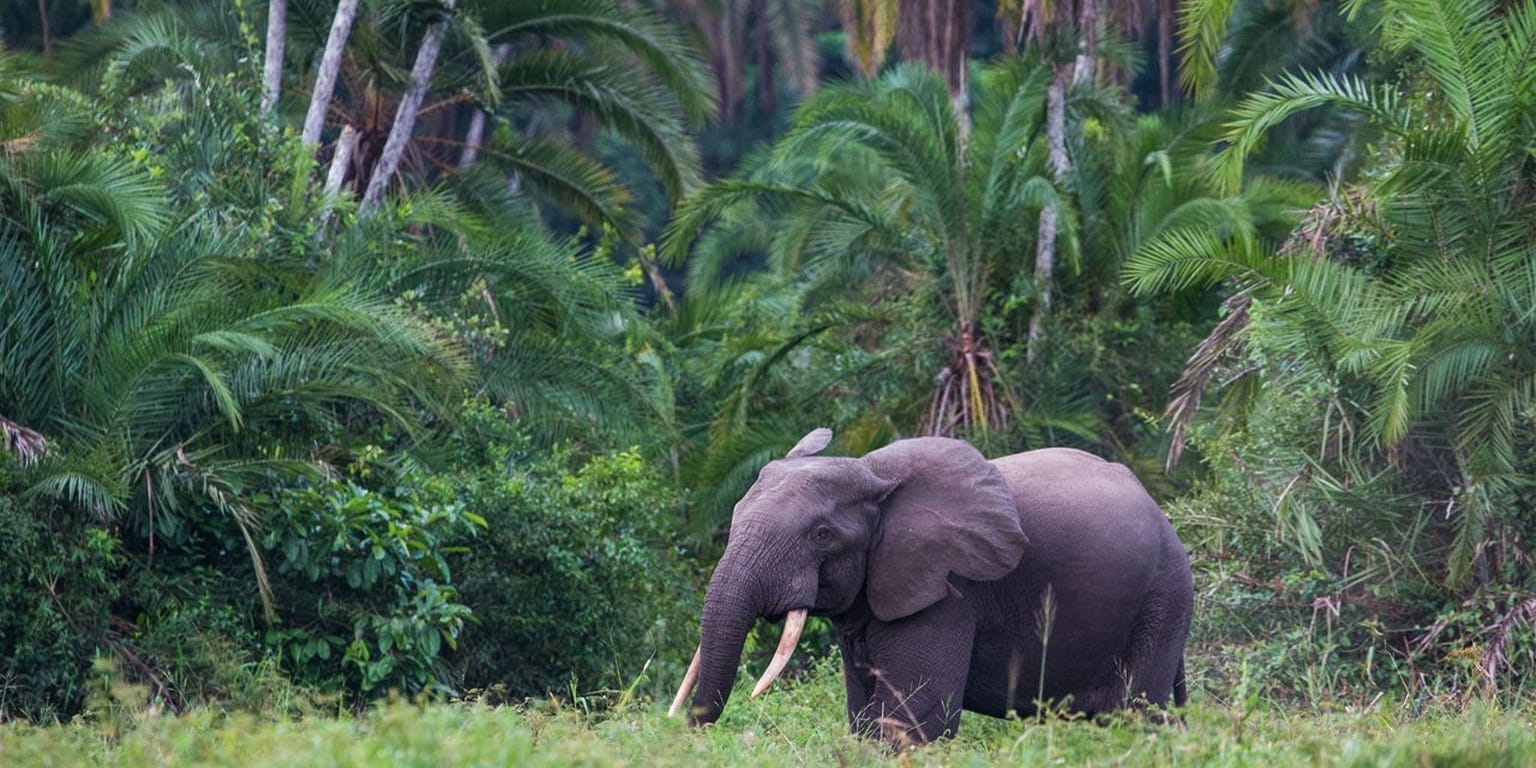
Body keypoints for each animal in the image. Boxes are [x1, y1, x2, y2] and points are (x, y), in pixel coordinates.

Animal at [666, 427, 1191, 743]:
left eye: (821, 534)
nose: (679, 726)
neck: (872, 471)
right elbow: (863, 713)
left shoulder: (950, 589)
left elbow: (916, 717)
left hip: (1162, 599)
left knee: (1136, 714)